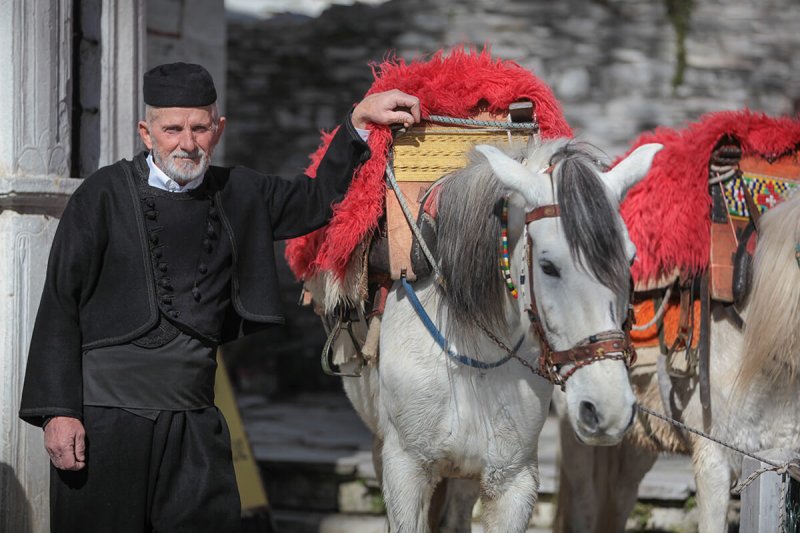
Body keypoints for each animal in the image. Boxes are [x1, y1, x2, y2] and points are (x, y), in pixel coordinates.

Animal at [308, 138, 664, 532]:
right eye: (548, 266)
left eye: (629, 260)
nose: (607, 409)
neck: (473, 354)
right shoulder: (405, 468)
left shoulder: (513, 477)